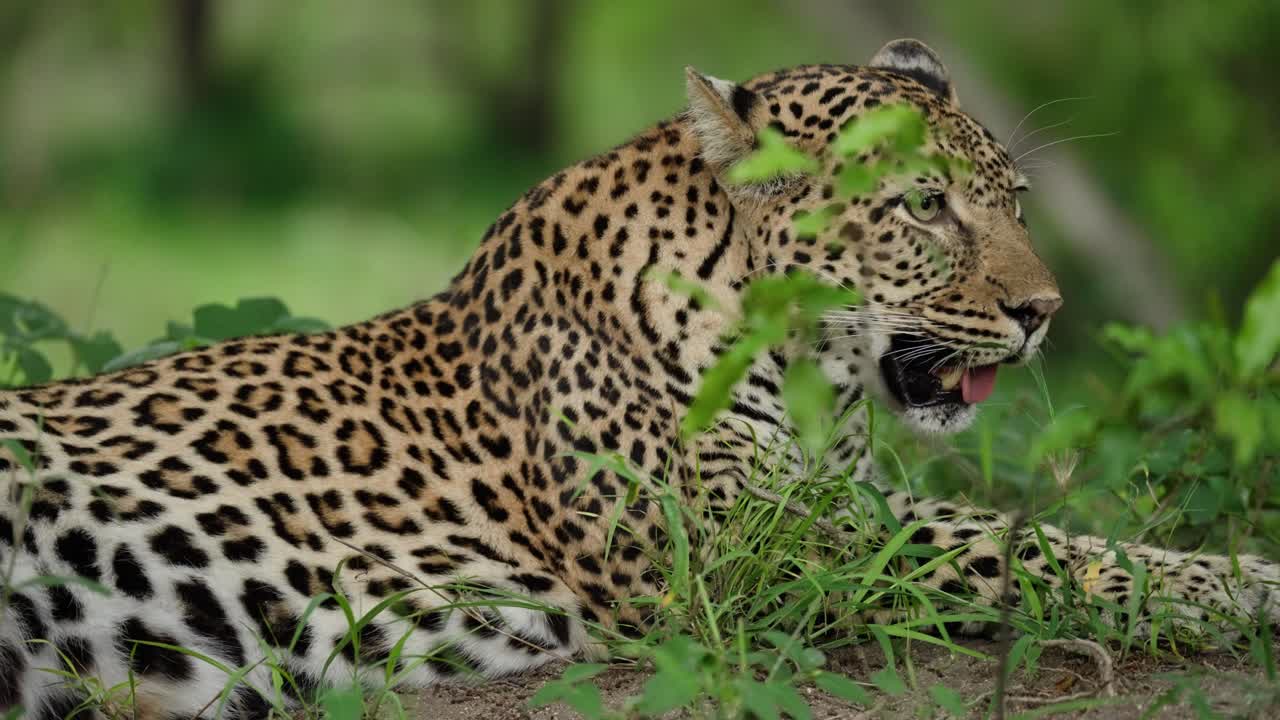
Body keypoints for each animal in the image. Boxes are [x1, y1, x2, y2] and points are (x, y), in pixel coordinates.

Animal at [2, 39, 1277, 720]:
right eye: (922, 206)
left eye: (1011, 202)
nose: (1042, 314)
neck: (809, 375)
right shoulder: (743, 547)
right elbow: (1033, 546)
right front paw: (1241, 585)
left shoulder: (831, 504)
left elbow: (1025, 530)